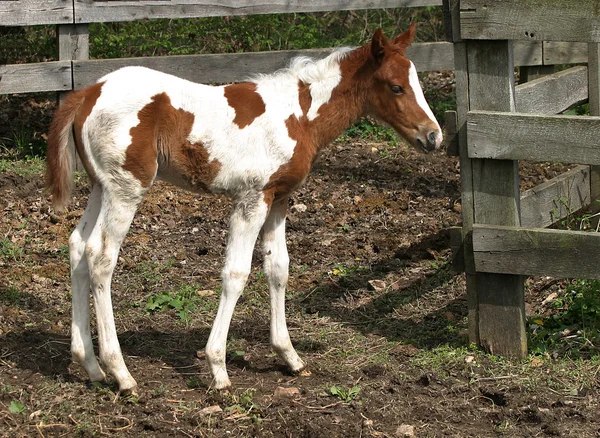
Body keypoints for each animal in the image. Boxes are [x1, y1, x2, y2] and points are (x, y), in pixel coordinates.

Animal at [47, 24, 440, 394]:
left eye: (416, 83)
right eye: (396, 87)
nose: (434, 136)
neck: (299, 115)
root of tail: (87, 94)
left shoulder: (278, 199)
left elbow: (278, 268)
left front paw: (289, 356)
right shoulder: (252, 199)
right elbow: (236, 274)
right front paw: (218, 368)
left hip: (101, 187)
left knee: (77, 247)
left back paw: (90, 366)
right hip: (127, 189)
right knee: (101, 257)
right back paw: (121, 373)